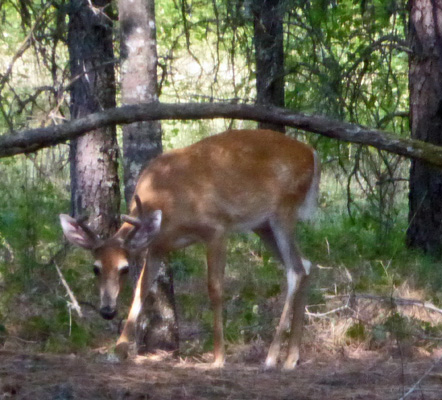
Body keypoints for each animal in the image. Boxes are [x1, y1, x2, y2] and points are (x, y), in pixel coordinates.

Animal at [59, 130, 322, 370]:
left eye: (124, 269)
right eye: (95, 268)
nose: (107, 311)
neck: (168, 200)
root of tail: (312, 154)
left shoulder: (216, 228)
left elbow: (215, 289)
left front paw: (218, 358)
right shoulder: (158, 246)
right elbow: (141, 289)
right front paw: (118, 350)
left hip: (284, 210)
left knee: (295, 270)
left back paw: (271, 358)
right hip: (262, 224)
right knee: (307, 264)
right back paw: (291, 358)